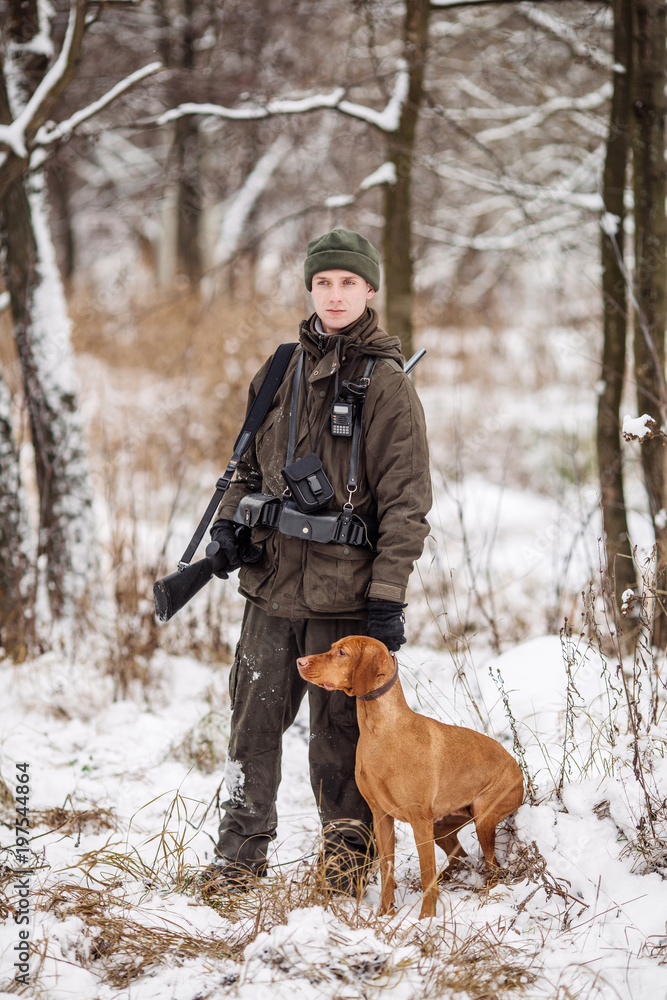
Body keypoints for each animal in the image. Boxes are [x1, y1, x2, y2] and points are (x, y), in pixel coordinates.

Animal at [298, 636, 528, 916]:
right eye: (332, 647)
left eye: (342, 653)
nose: (300, 661)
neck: (381, 731)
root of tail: (516, 766)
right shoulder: (381, 817)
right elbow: (387, 869)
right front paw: (385, 914)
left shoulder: (419, 821)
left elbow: (427, 871)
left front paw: (426, 917)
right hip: (441, 826)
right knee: (461, 858)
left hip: (482, 815)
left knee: (492, 867)